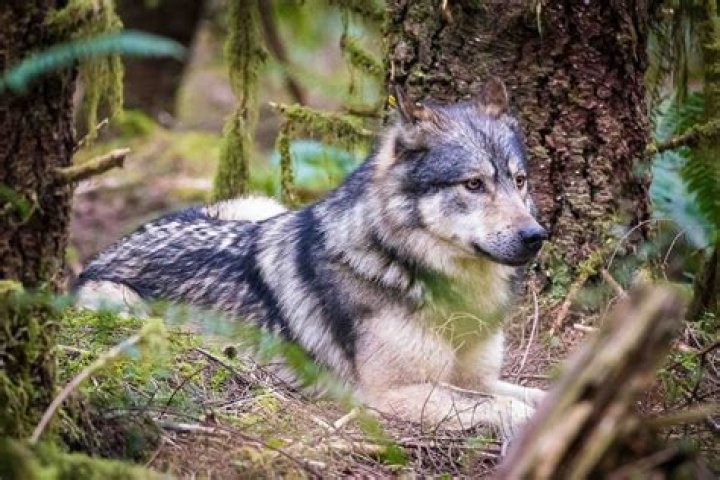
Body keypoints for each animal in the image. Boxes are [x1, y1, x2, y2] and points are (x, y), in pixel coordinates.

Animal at [75, 78, 548, 439]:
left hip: (258, 207)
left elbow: (536, 395)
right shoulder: (391, 394)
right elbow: (504, 407)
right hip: (123, 306)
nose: (536, 237)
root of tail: (109, 248)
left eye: (519, 181)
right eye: (474, 184)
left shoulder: (478, 379)